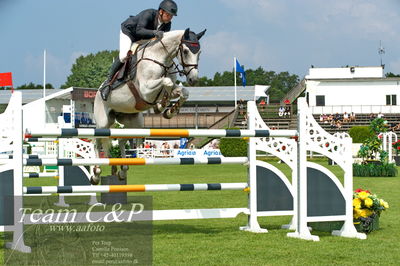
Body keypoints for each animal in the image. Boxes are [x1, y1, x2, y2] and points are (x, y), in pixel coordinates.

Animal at [91, 28, 206, 184]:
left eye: (199, 52)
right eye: (186, 51)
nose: (193, 79)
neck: (160, 58)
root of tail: (97, 92)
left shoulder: (169, 88)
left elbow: (181, 91)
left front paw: (168, 110)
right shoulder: (145, 90)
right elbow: (167, 82)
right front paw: (161, 105)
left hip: (134, 123)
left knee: (120, 140)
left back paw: (121, 170)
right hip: (103, 122)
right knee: (97, 142)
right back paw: (96, 173)